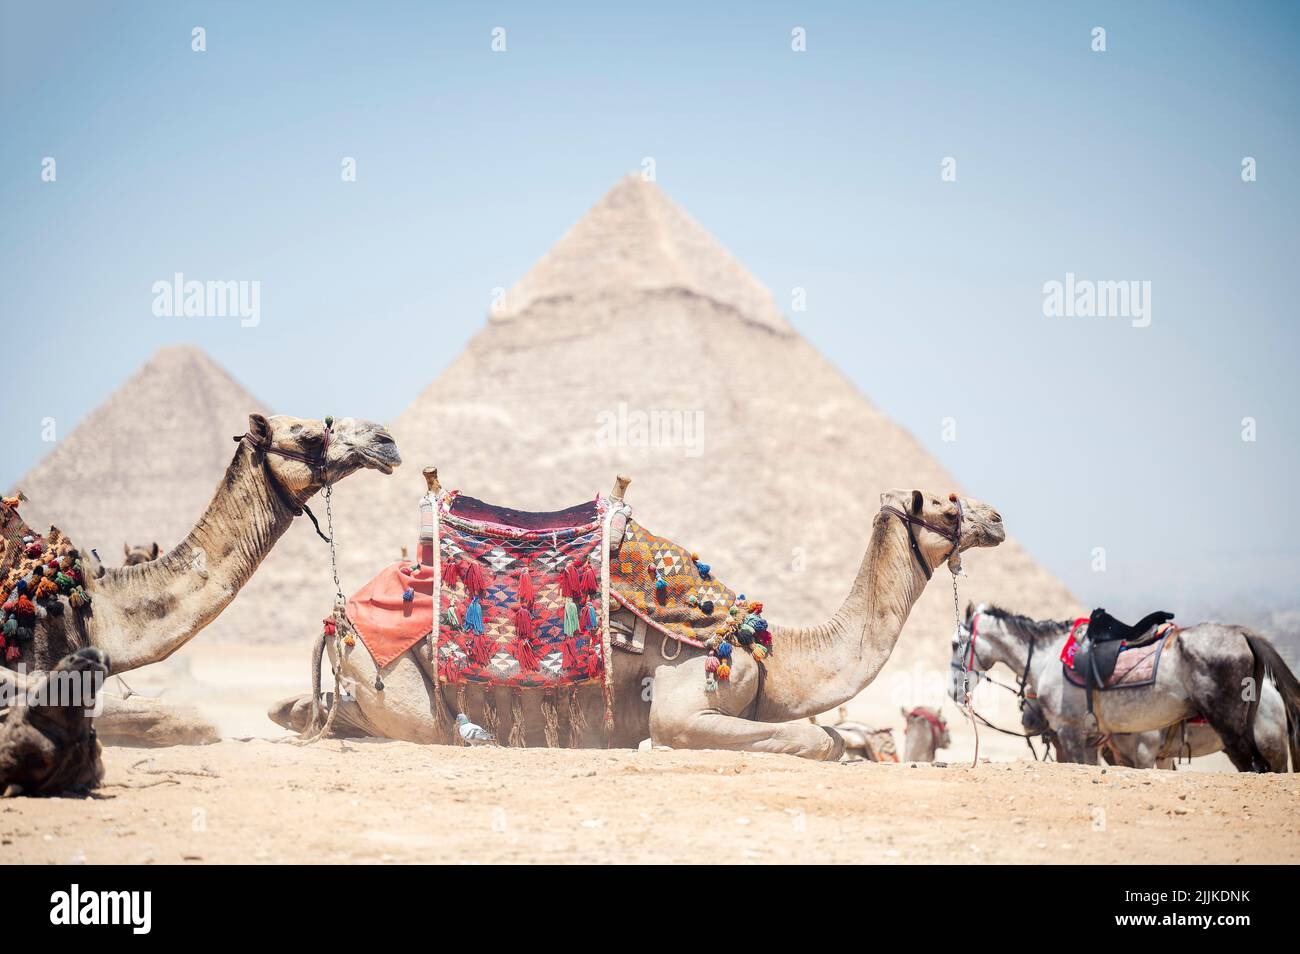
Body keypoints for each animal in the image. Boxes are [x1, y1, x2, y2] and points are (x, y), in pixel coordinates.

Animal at [271, 488, 1003, 759]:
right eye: (945, 505)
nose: (996, 517)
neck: (764, 646)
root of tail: (338, 617)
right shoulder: (685, 693)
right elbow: (811, 738)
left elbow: (828, 732)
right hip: (391, 668)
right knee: (433, 728)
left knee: (324, 711)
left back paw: (297, 712)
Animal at [946, 608, 1300, 774]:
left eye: (954, 644)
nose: (953, 691)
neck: (1050, 655)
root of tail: (1243, 634)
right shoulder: (1096, 742)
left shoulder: (1074, 734)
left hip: (1241, 732)